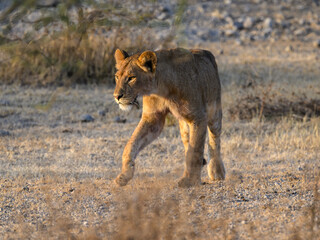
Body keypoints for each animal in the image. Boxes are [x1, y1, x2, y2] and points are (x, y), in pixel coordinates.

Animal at [114, 47, 226, 188]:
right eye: (117, 77)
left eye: (131, 78)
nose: (117, 96)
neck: (162, 90)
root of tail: (205, 51)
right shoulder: (153, 119)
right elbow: (131, 144)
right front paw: (124, 175)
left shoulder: (198, 117)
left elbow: (195, 150)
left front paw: (189, 180)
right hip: (184, 124)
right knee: (187, 142)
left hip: (214, 111)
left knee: (214, 139)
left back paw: (217, 171)